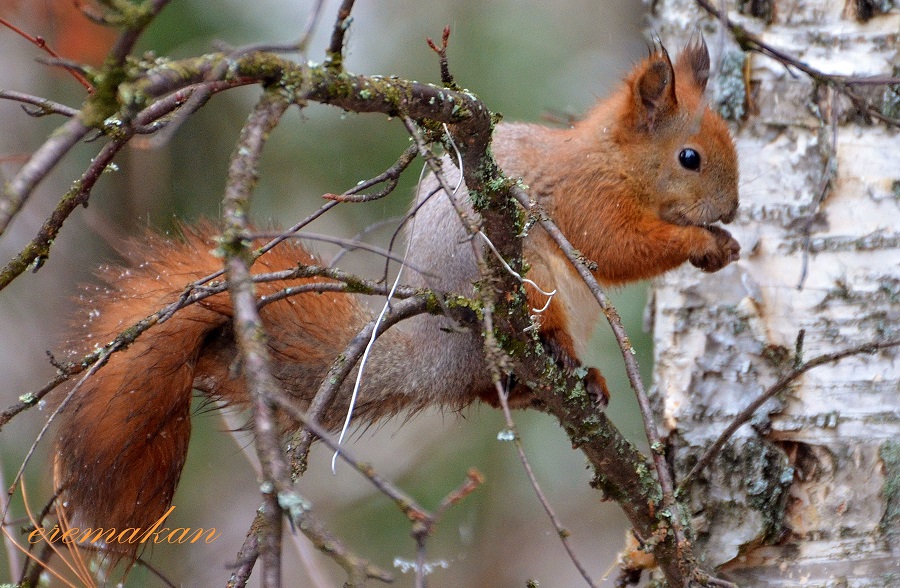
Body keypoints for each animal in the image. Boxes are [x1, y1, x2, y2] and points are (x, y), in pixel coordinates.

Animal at [52, 39, 739, 563]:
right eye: (689, 157)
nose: (732, 210)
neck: (612, 160)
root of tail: (440, 354)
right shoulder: (584, 201)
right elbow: (619, 246)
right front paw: (703, 242)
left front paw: (723, 243)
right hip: (533, 292)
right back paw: (563, 361)